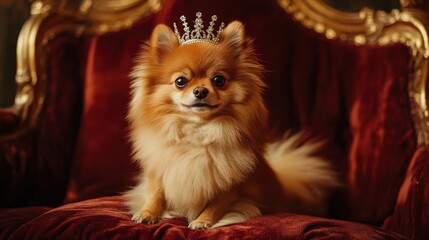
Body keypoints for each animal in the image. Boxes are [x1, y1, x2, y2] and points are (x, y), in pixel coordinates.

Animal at [125, 14, 340, 230]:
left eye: (218, 80)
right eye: (180, 82)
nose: (200, 91)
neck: (199, 131)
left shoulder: (230, 184)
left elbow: (216, 204)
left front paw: (202, 221)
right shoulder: (159, 169)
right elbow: (156, 193)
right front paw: (147, 212)